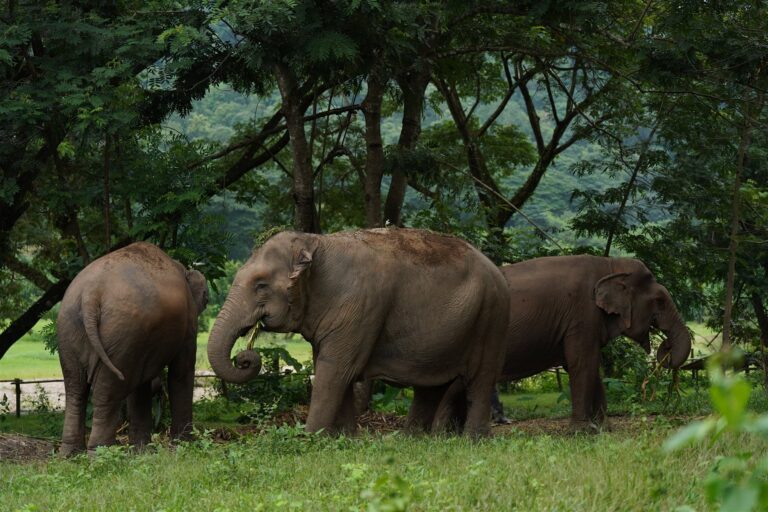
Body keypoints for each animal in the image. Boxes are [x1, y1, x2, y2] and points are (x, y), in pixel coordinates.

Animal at [57, 242, 208, 455]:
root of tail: (90, 295)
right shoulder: (188, 322)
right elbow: (181, 372)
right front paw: (183, 446)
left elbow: (141, 385)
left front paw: (142, 451)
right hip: (122, 331)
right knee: (107, 392)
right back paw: (100, 454)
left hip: (70, 329)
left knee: (75, 388)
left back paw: (70, 454)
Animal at [207, 228, 510, 436]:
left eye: (261, 286)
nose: (245, 358)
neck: (316, 242)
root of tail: (497, 270)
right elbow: (334, 369)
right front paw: (344, 439)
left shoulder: (360, 307)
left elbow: (335, 369)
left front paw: (309, 439)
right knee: (430, 386)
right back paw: (410, 439)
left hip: (491, 318)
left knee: (481, 380)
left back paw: (473, 439)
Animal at [431, 255, 691, 432]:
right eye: (660, 301)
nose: (666, 347)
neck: (610, 265)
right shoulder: (582, 314)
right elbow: (582, 363)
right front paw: (582, 432)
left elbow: (589, 366)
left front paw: (603, 429)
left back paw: (443, 434)